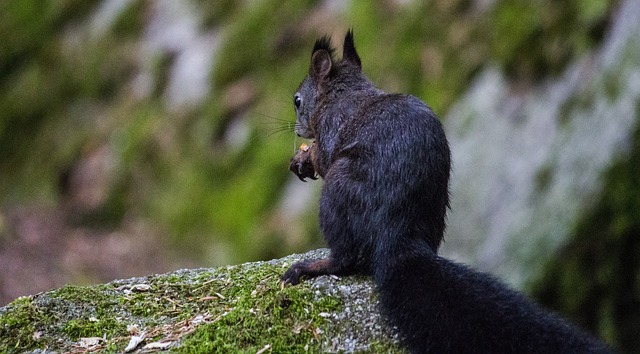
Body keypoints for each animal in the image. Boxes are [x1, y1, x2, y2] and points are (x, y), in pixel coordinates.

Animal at [282, 31, 608, 354]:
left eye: (297, 100)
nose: (297, 131)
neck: (343, 93)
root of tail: (397, 236)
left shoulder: (332, 127)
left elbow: (324, 158)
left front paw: (306, 157)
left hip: (337, 193)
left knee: (346, 258)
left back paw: (311, 267)